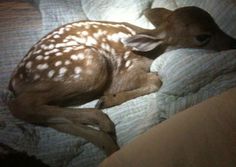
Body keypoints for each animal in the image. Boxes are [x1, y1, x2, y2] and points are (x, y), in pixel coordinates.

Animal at [7, 6, 236, 155]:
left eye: (215, 21)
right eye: (202, 36)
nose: (233, 42)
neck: (151, 49)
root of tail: (14, 82)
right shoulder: (124, 74)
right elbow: (156, 81)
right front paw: (109, 99)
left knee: (41, 113)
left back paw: (107, 143)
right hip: (91, 64)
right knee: (21, 106)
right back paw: (102, 120)